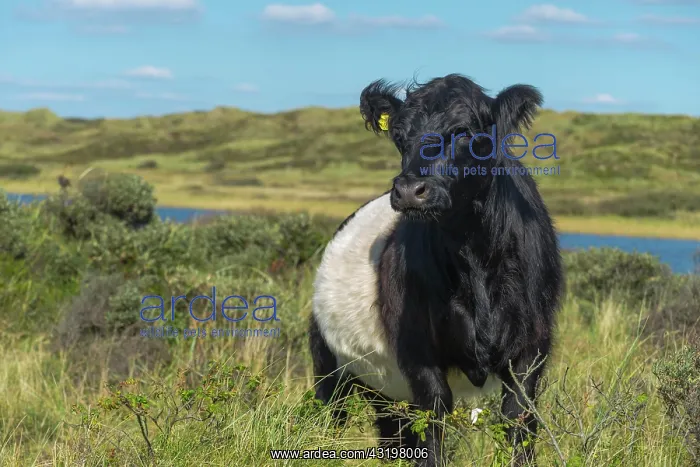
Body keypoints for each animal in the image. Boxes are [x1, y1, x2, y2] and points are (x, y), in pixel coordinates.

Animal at [309, 73, 563, 466]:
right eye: (399, 135)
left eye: (463, 131)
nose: (409, 190)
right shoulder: (418, 353)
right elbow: (433, 425)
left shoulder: (532, 348)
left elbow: (519, 422)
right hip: (329, 366)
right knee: (333, 417)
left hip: (384, 391)